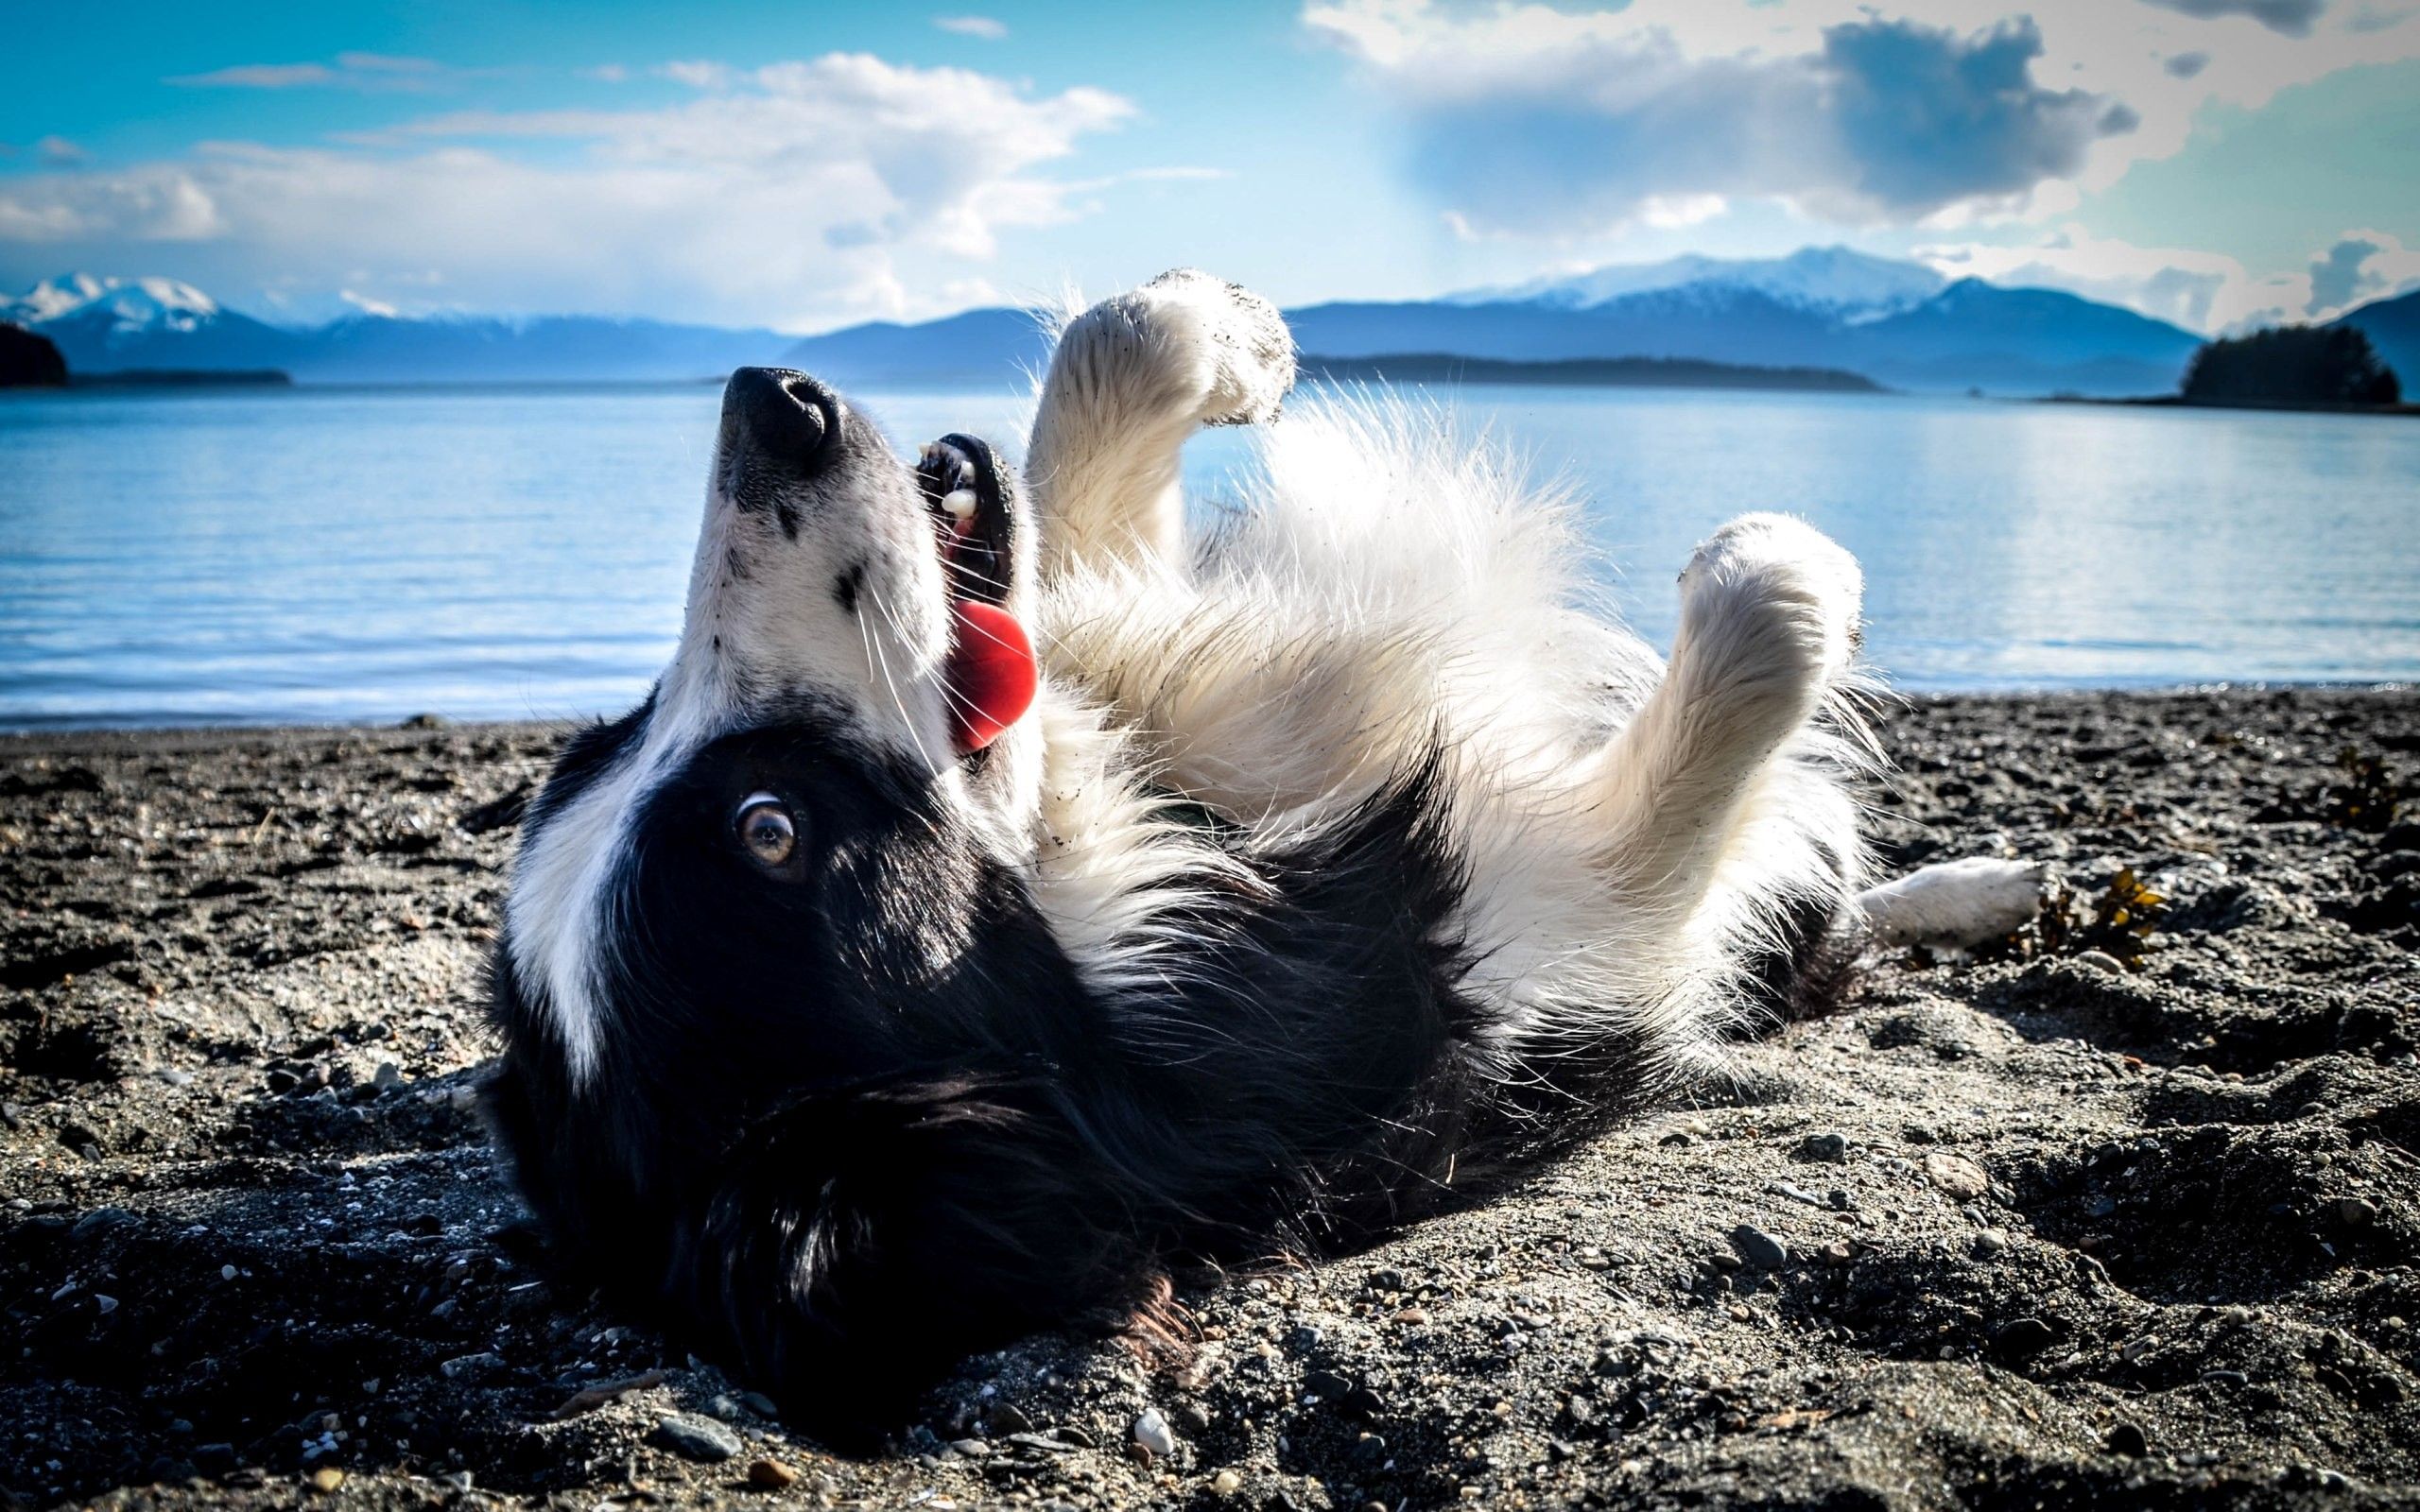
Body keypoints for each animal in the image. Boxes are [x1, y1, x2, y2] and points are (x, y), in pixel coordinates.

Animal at [481, 268, 2032, 1422]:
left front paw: (1221, 335)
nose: (772, 402)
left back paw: (1994, 885)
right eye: (774, 834)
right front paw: (1783, 566)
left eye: (601, 740)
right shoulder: (1570, 927)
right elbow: (1723, 701)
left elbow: (1087, 428)